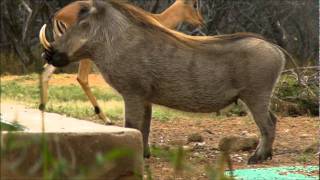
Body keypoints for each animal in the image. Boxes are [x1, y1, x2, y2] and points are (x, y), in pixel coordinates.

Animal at [40, 0, 204, 124]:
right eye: (195, 4)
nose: (201, 21)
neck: (157, 19)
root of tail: (58, 15)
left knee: (47, 71)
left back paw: (43, 107)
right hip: (83, 54)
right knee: (82, 78)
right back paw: (106, 119)